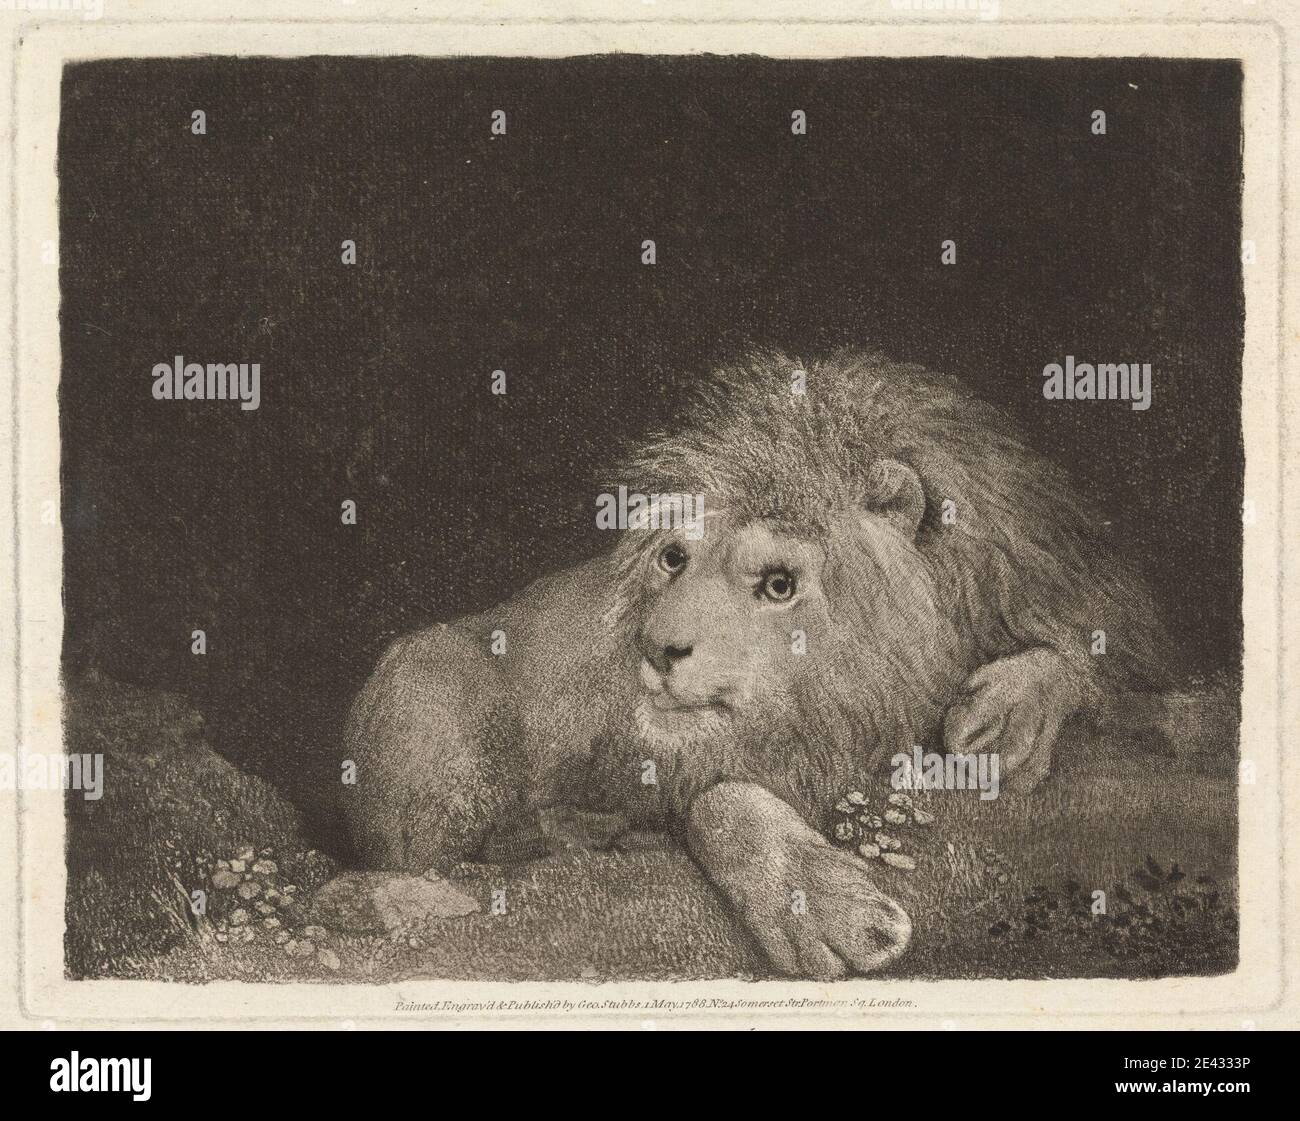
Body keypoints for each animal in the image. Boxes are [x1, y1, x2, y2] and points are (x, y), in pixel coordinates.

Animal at [341, 348, 1171, 978]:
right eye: (674, 559)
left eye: (777, 584)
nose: (654, 647)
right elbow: (719, 798)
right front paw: (820, 904)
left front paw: (1009, 715)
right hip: (424, 671)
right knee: (433, 854)